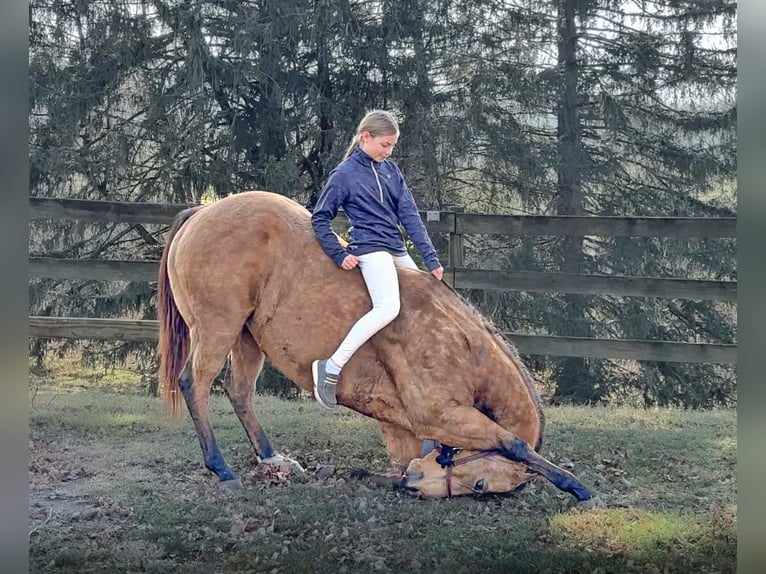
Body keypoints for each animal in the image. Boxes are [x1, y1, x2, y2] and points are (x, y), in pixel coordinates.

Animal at [157, 190, 594, 502]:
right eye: (481, 485)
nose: (416, 484)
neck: (461, 347)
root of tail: (201, 213)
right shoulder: (441, 415)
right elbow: (512, 443)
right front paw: (574, 485)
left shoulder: (401, 428)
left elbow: (397, 463)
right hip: (218, 328)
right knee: (194, 384)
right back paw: (221, 468)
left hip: (247, 338)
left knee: (240, 392)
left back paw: (272, 457)